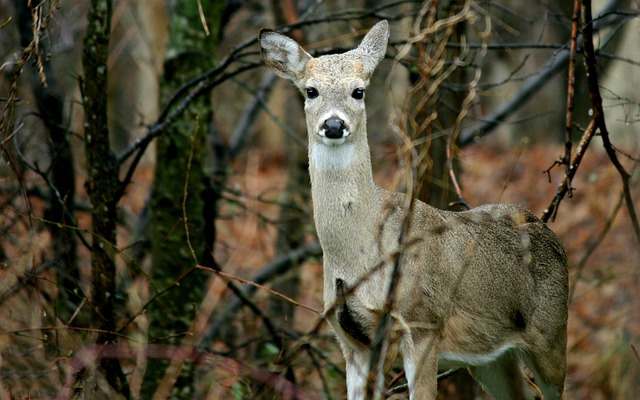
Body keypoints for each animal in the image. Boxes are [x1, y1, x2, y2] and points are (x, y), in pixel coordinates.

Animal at [258, 21, 568, 400]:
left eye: (359, 91)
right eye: (311, 91)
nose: (333, 125)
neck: (361, 253)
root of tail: (547, 229)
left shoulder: (422, 322)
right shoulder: (350, 339)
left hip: (551, 335)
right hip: (492, 358)